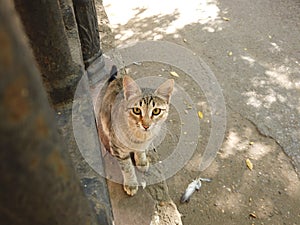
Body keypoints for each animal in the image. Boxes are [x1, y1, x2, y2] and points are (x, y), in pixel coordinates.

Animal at [97, 66, 175, 195]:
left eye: (156, 111)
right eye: (137, 110)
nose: (146, 125)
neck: (140, 136)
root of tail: (117, 78)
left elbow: (140, 151)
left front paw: (141, 161)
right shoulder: (119, 149)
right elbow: (127, 167)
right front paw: (131, 183)